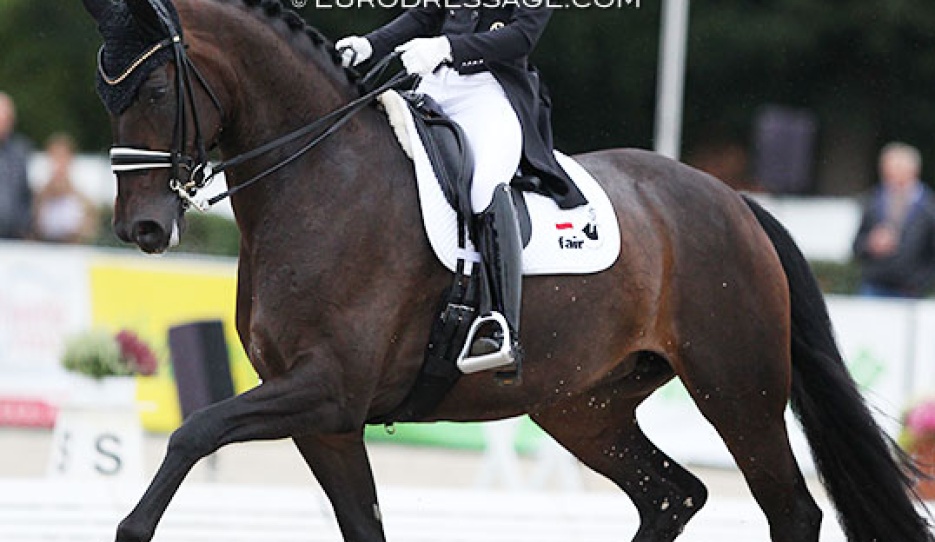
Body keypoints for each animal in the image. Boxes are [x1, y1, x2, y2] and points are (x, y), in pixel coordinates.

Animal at [80, 1, 933, 541]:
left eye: (155, 87)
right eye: (106, 93)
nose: (142, 229)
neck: (320, 176)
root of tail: (733, 200)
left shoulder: (325, 389)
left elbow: (192, 433)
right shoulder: (328, 418)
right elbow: (361, 526)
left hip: (737, 388)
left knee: (789, 509)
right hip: (582, 405)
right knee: (671, 495)